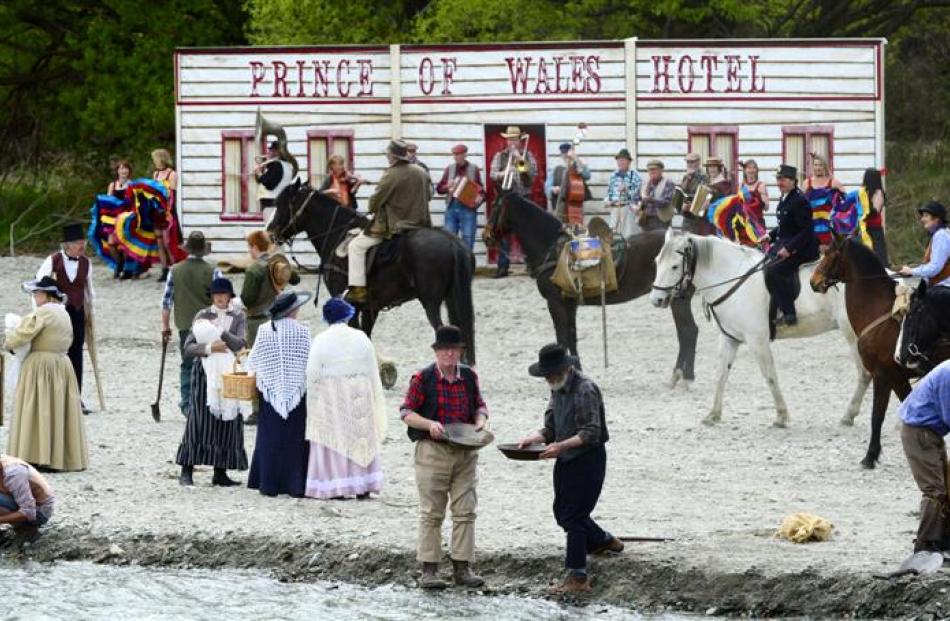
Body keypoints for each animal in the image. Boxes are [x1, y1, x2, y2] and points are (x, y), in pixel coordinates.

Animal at [266, 179, 476, 364]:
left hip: (431, 303)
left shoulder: (347, 303)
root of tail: (451, 240)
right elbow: (366, 337)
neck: (336, 234)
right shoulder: (369, 307)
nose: (269, 232)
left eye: (281, 204)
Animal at [484, 191, 700, 382]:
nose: (486, 236)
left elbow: (562, 337)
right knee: (689, 332)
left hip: (677, 299)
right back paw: (685, 374)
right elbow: (571, 336)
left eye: (494, 206)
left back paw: (681, 376)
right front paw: (576, 369)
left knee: (688, 331)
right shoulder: (569, 303)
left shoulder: (555, 303)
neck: (553, 249)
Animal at [652, 230, 872, 428]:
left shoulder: (757, 340)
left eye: (674, 266)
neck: (733, 278)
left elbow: (770, 376)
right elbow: (721, 375)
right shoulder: (729, 338)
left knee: (864, 374)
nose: (656, 300)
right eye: (656, 262)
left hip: (853, 336)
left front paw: (781, 416)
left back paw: (848, 415)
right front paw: (713, 415)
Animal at [812, 235, 950, 468]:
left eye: (830, 254)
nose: (813, 281)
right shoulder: (897, 379)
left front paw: (870, 456)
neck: (878, 311)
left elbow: (877, 416)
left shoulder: (883, 375)